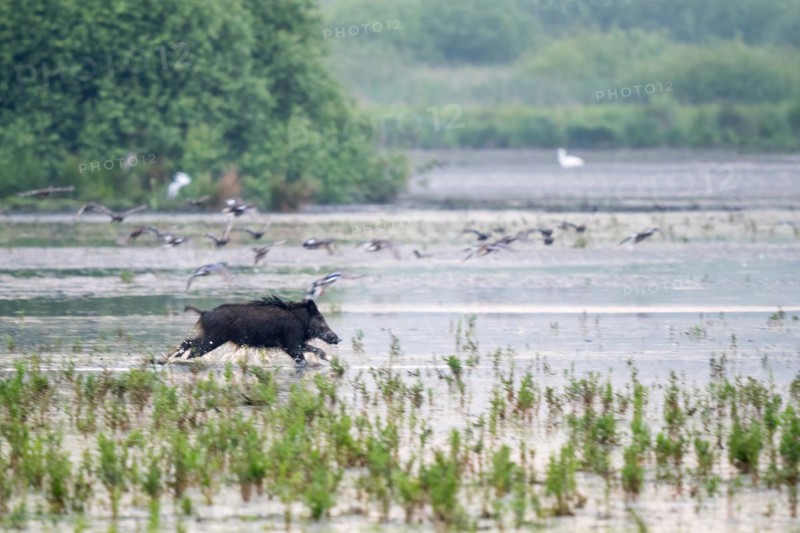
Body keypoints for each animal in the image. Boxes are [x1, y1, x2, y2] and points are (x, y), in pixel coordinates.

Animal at [166, 296, 341, 364]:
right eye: (320, 319)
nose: (338, 339)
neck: (301, 321)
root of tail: (204, 312)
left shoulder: (297, 342)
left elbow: (315, 349)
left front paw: (326, 359)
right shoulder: (289, 343)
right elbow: (301, 357)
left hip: (206, 335)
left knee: (187, 342)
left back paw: (166, 358)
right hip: (213, 338)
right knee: (193, 350)